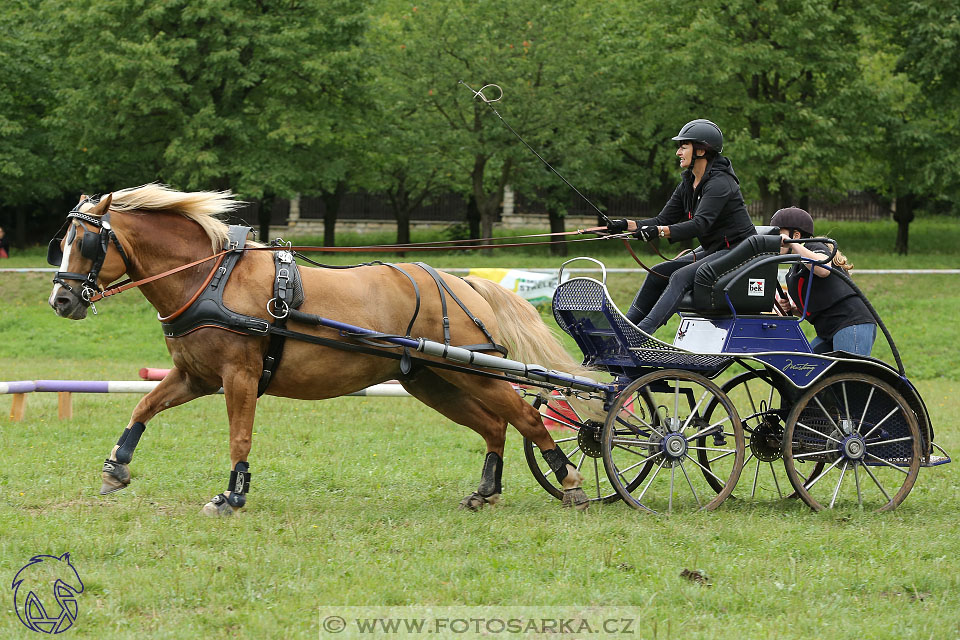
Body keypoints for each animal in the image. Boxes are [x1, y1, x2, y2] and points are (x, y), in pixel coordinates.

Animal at [47, 184, 592, 516]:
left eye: (88, 243)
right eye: (63, 241)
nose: (61, 300)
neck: (211, 277)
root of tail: (460, 281)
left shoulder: (240, 377)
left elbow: (239, 437)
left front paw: (231, 496)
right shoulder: (195, 377)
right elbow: (143, 405)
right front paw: (116, 467)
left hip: (471, 373)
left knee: (527, 417)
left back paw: (571, 482)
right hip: (431, 380)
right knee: (494, 426)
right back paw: (486, 491)